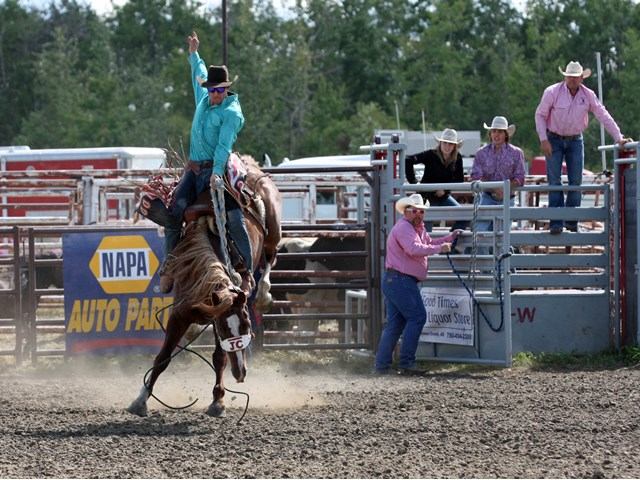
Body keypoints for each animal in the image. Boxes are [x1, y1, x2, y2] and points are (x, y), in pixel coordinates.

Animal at [127, 154, 281, 417]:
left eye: (247, 325)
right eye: (228, 330)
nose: (241, 373)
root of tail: (249, 165)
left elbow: (219, 357)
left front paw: (218, 401)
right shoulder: (181, 315)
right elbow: (163, 358)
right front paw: (140, 399)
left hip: (274, 233)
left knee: (270, 258)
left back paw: (263, 294)